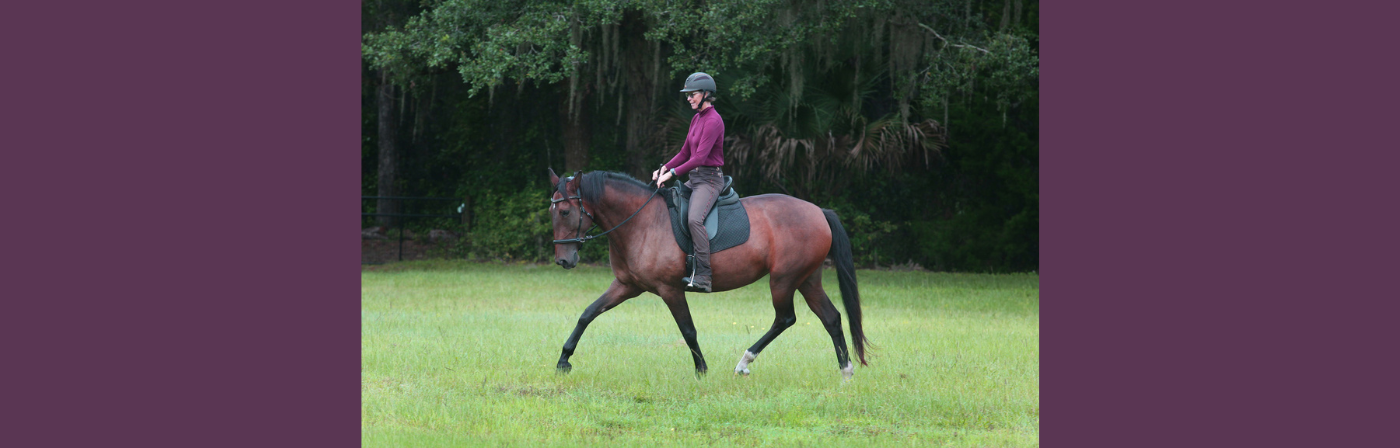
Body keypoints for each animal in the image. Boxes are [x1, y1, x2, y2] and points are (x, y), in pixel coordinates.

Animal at [547, 169, 869, 379]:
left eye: (564, 212)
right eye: (553, 212)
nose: (564, 260)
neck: (641, 221)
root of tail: (818, 212)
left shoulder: (670, 289)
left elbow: (688, 329)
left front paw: (701, 370)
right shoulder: (626, 285)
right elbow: (587, 314)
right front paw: (563, 360)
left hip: (783, 280)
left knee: (785, 318)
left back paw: (744, 362)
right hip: (807, 279)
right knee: (831, 318)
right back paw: (846, 371)